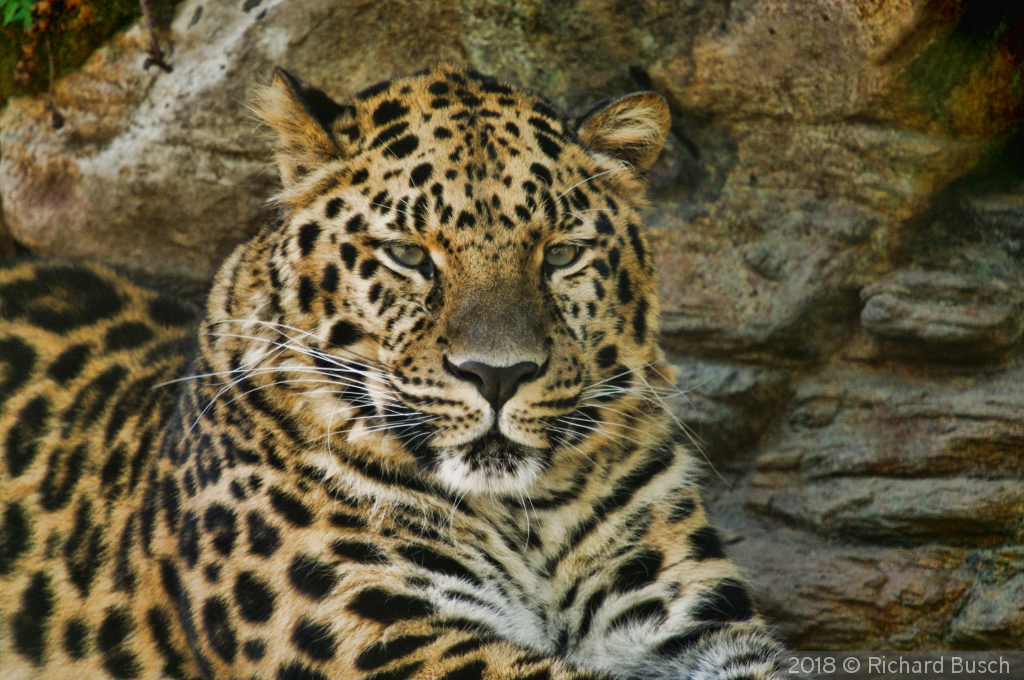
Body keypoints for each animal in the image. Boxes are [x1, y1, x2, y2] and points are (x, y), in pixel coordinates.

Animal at [2, 63, 782, 680]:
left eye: (560, 255)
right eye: (409, 255)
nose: (498, 375)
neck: (526, 520)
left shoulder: (686, 627)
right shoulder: (390, 638)